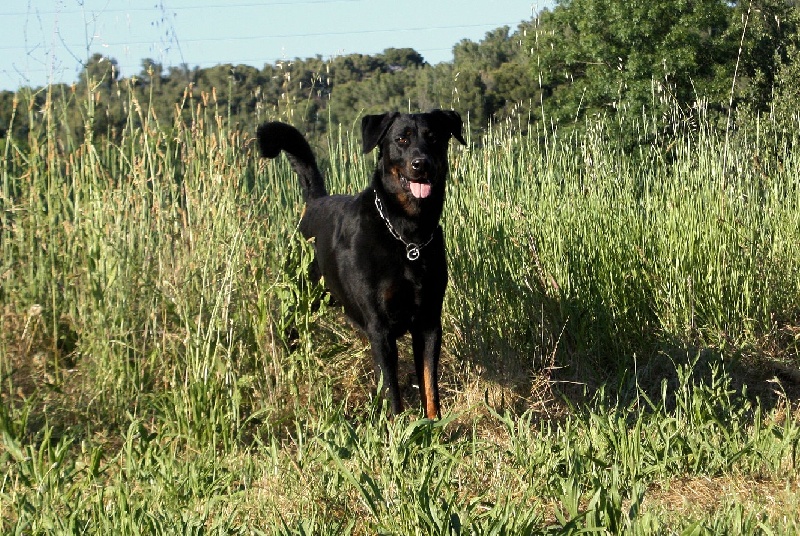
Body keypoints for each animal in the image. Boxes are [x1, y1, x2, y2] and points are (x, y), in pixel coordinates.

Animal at [256, 110, 466, 418]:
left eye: (434, 137)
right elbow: (392, 391)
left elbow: (429, 387)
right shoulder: (380, 328)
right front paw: (398, 427)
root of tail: (315, 201)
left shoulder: (428, 322)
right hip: (300, 296)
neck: (407, 235)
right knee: (290, 330)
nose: (421, 164)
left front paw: (434, 424)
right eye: (401, 139)